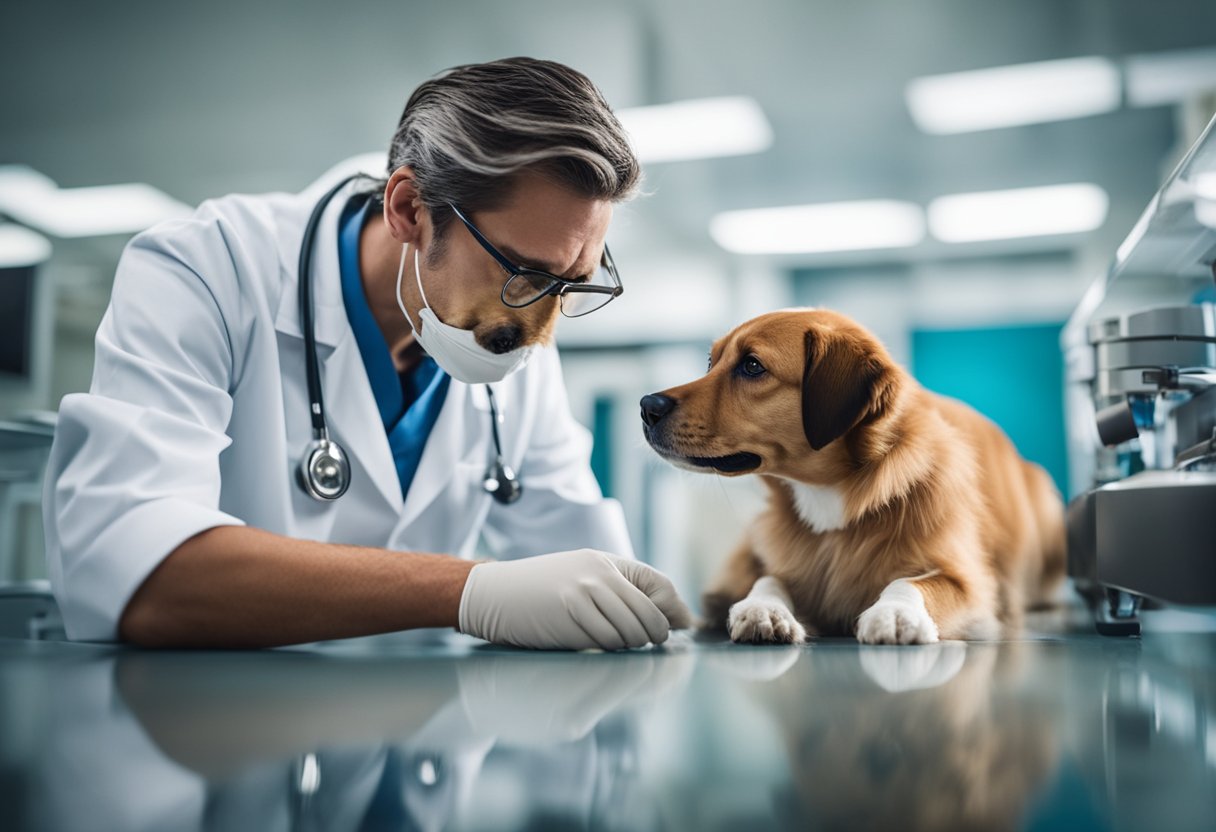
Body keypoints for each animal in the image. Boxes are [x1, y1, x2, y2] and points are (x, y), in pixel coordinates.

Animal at [637, 310, 1065, 642]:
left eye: (752, 365)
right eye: (711, 363)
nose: (646, 406)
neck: (832, 496)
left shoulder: (972, 586)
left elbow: (914, 582)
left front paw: (896, 612)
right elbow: (769, 579)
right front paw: (763, 608)